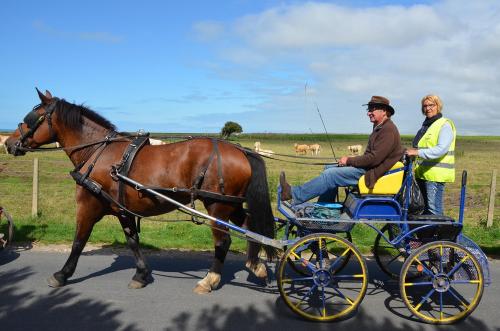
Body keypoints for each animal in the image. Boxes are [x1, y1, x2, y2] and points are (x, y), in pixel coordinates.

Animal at [3, 89, 276, 294]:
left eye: (31, 118)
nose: (9, 143)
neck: (97, 153)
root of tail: (241, 150)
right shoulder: (122, 208)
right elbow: (132, 240)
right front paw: (141, 275)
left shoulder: (88, 206)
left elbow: (78, 241)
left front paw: (62, 274)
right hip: (232, 204)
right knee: (250, 227)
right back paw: (256, 265)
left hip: (217, 205)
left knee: (223, 241)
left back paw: (210, 279)